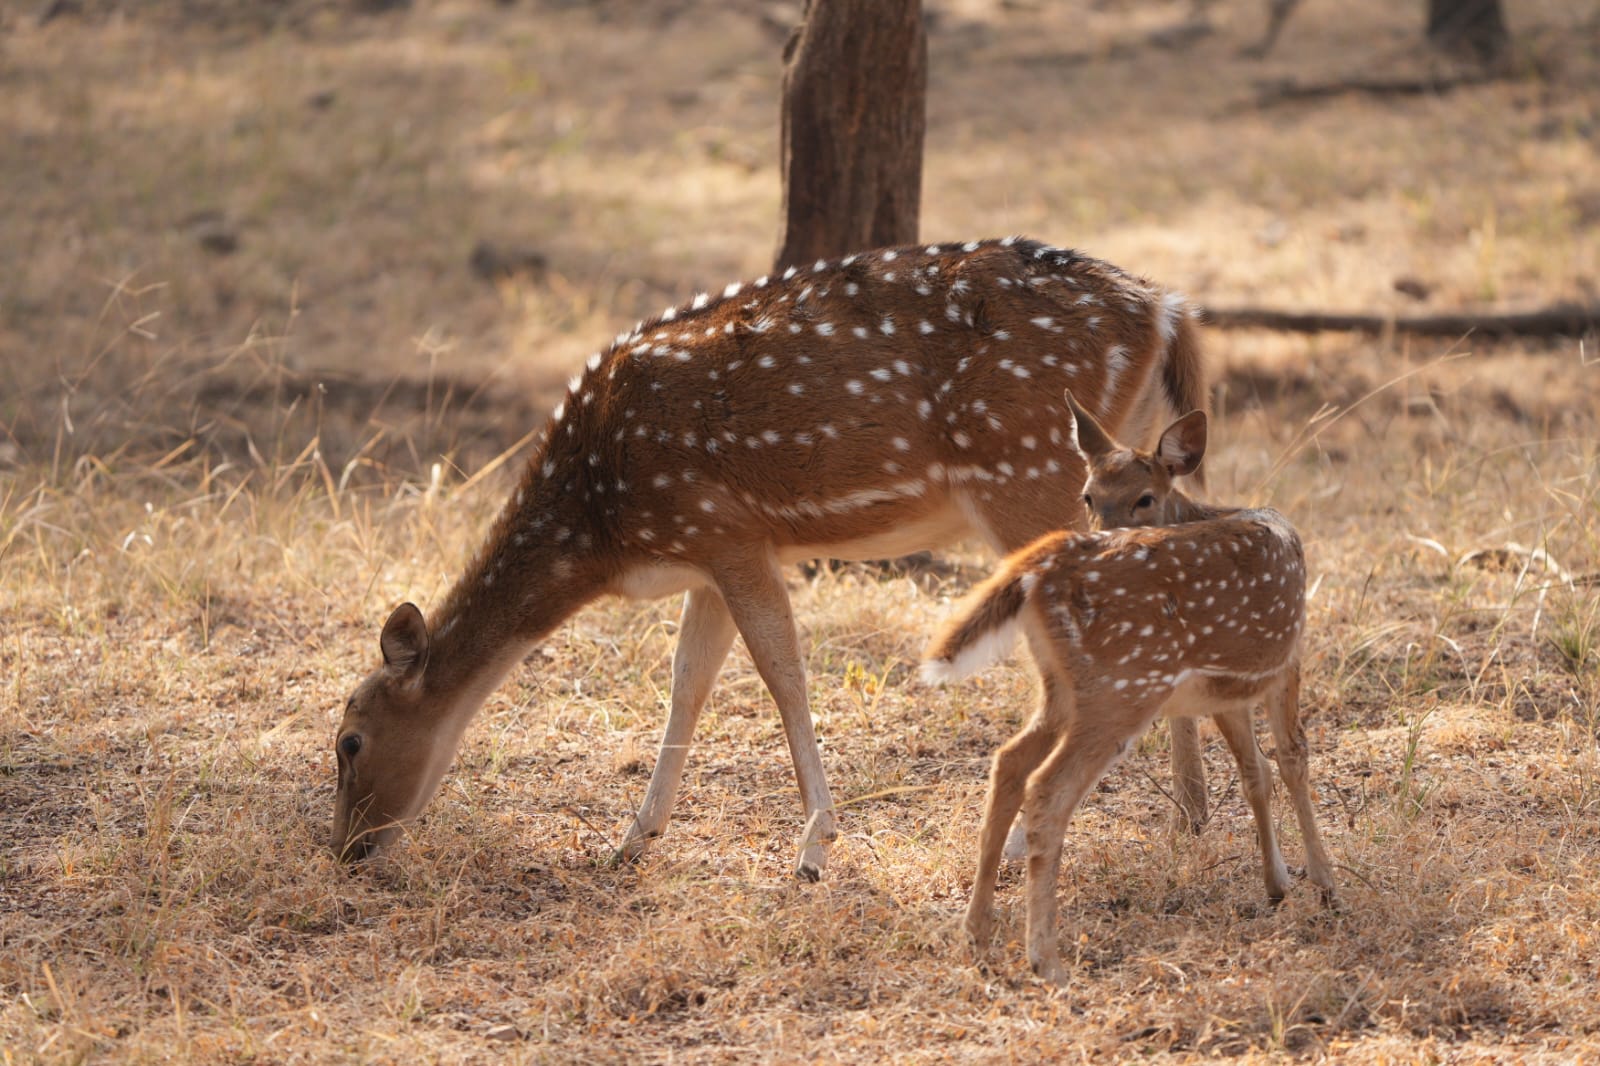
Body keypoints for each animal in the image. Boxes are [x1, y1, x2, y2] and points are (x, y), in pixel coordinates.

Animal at [331, 237, 1214, 881]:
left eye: (350, 741)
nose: (343, 850)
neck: (603, 528)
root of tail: (1167, 311)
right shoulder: (711, 553)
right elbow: (688, 682)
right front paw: (632, 840)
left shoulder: (724, 529)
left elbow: (782, 673)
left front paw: (814, 851)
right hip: (1112, 468)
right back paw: (1190, 818)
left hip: (1027, 474)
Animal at [923, 393, 1337, 983]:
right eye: (1088, 495)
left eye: (1144, 497)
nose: (1102, 525)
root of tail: (1038, 569)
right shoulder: (1287, 661)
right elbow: (1293, 758)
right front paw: (1325, 885)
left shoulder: (1219, 688)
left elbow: (1254, 770)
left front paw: (1277, 884)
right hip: (1126, 685)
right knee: (1047, 789)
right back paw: (1044, 958)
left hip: (1065, 687)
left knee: (1008, 763)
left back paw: (977, 936)